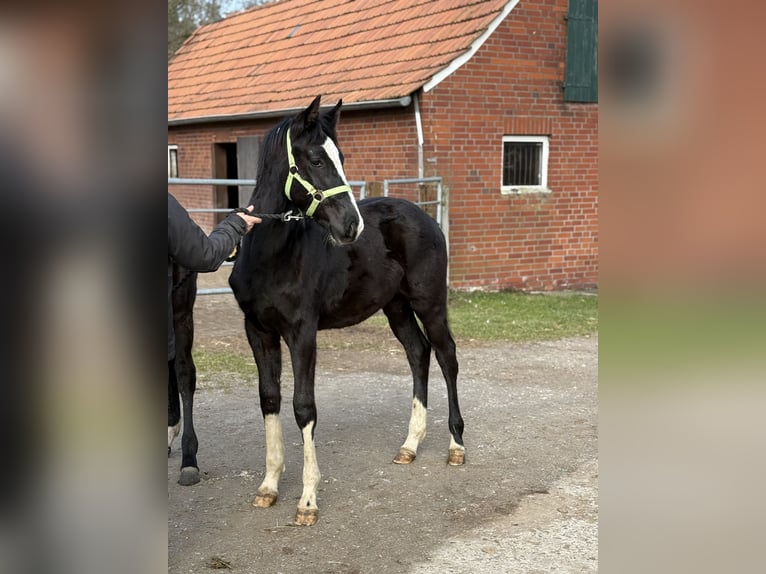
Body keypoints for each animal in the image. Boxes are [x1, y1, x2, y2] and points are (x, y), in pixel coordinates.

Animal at [230, 97, 468, 528]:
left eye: (340, 157)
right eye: (315, 159)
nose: (350, 226)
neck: (272, 255)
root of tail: (425, 215)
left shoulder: (302, 332)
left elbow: (303, 406)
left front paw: (308, 500)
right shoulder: (258, 331)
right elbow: (269, 399)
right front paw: (269, 486)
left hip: (429, 302)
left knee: (446, 356)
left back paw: (456, 445)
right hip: (396, 307)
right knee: (418, 353)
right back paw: (410, 445)